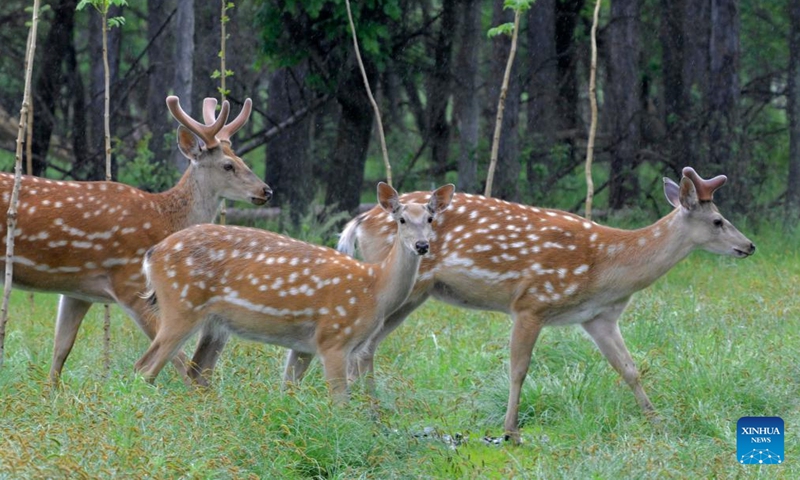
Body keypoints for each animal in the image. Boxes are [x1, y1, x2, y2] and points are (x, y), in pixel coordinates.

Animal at [0, 95, 272, 382]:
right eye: (228, 165)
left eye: (241, 159)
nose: (266, 191)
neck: (165, 218)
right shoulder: (130, 283)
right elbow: (177, 359)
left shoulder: (78, 290)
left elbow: (60, 351)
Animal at [133, 183, 454, 399]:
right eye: (401, 219)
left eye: (430, 219)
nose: (422, 245)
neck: (374, 288)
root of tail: (151, 254)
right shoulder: (333, 338)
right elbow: (340, 402)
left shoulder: (304, 345)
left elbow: (288, 390)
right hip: (180, 305)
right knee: (145, 367)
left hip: (213, 324)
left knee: (196, 372)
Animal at [312, 167, 755, 442]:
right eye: (718, 220)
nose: (749, 245)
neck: (607, 269)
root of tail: (360, 221)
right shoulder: (532, 302)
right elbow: (518, 369)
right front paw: (510, 430)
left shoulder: (598, 317)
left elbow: (629, 368)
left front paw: (657, 421)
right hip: (408, 286)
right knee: (363, 346)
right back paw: (369, 412)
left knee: (367, 348)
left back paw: (373, 412)